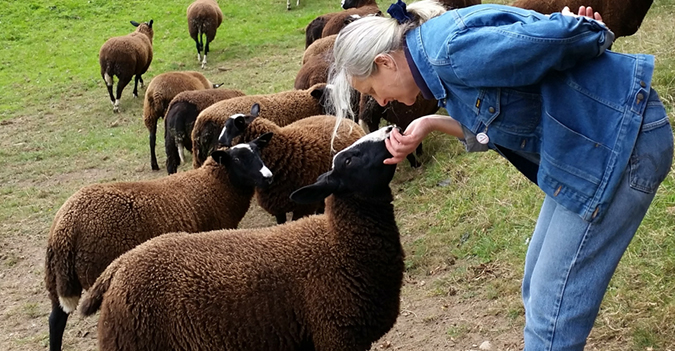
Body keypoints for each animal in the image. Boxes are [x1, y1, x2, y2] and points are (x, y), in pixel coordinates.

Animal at [45, 135, 274, 351]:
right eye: (237, 159)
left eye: (258, 153)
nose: (268, 177)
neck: (214, 185)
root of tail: (65, 226)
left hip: (56, 277)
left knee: (55, 321)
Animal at [218, 102, 364, 223]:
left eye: (229, 127)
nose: (219, 141)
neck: (283, 153)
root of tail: (344, 119)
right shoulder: (277, 207)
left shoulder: (303, 207)